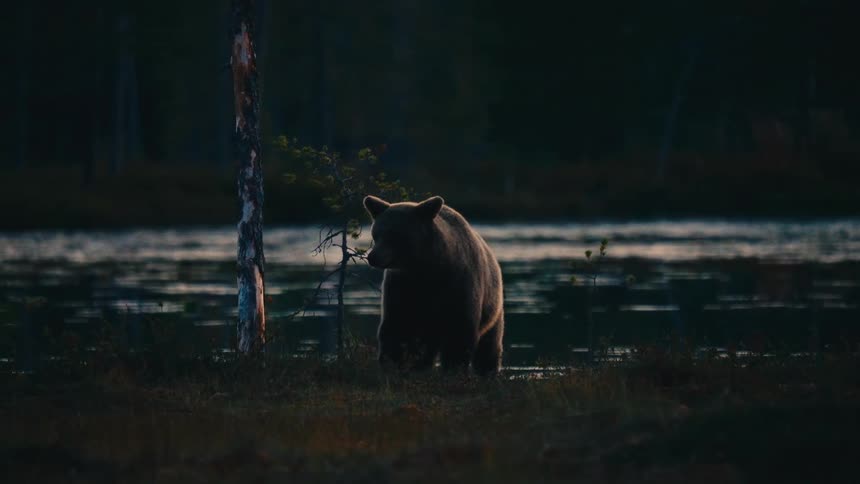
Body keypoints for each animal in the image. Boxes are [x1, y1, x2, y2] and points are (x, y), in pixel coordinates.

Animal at [363, 194, 504, 375]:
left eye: (395, 235)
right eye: (376, 234)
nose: (372, 257)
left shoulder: (458, 285)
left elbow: (460, 333)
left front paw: (454, 369)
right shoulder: (401, 286)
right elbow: (395, 326)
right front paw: (392, 364)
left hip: (493, 308)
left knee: (489, 345)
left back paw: (488, 372)